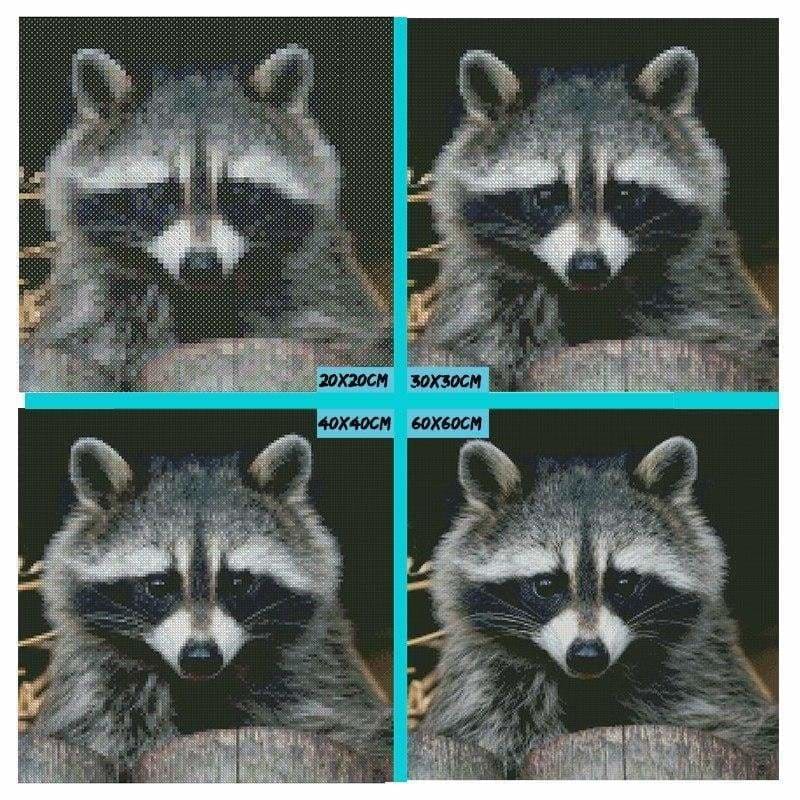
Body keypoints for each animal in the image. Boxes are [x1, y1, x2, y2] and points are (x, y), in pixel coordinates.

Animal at [21, 47, 388, 390]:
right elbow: (92, 330)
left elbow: (335, 324)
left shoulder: (316, 271)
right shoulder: (94, 276)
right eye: (157, 197)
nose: (201, 265)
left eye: (239, 195)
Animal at [31, 435, 390, 771]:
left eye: (238, 583)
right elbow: (102, 726)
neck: (202, 687)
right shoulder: (100, 680)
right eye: (159, 585)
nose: (200, 657)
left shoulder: (314, 672)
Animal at [420, 437, 777, 776]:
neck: (588, 685)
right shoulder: (488, 683)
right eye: (546, 585)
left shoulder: (700, 673)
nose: (587, 656)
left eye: (624, 583)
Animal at [421, 47, 776, 389]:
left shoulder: (701, 280)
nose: (588, 267)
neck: (589, 297)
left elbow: (725, 327)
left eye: (624, 194)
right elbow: (488, 333)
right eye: (547, 195)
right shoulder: (488, 286)